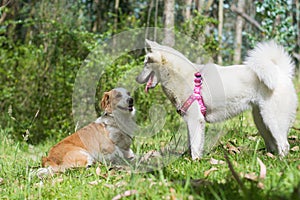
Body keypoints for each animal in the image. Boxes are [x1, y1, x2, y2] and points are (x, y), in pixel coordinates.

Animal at [137, 40, 298, 159]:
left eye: (146, 63)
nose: (136, 79)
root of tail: (281, 72)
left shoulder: (194, 119)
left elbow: (194, 146)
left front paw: (195, 162)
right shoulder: (193, 121)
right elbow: (193, 143)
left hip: (272, 120)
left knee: (284, 145)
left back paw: (280, 162)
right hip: (261, 121)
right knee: (273, 143)